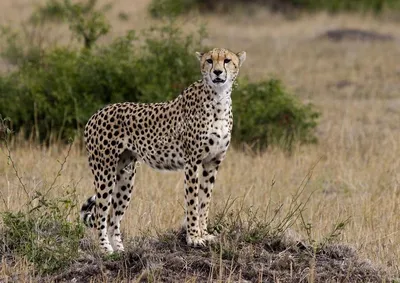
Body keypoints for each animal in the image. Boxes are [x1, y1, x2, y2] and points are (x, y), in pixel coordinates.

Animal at [80, 47, 245, 254]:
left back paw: (120, 251)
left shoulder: (212, 162)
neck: (219, 98)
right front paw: (194, 237)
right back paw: (106, 250)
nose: (217, 72)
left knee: (112, 218)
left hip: (125, 175)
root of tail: (95, 114)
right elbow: (192, 202)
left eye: (227, 60)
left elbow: (205, 201)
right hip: (105, 171)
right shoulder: (192, 162)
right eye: (209, 60)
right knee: (100, 214)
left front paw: (204, 234)